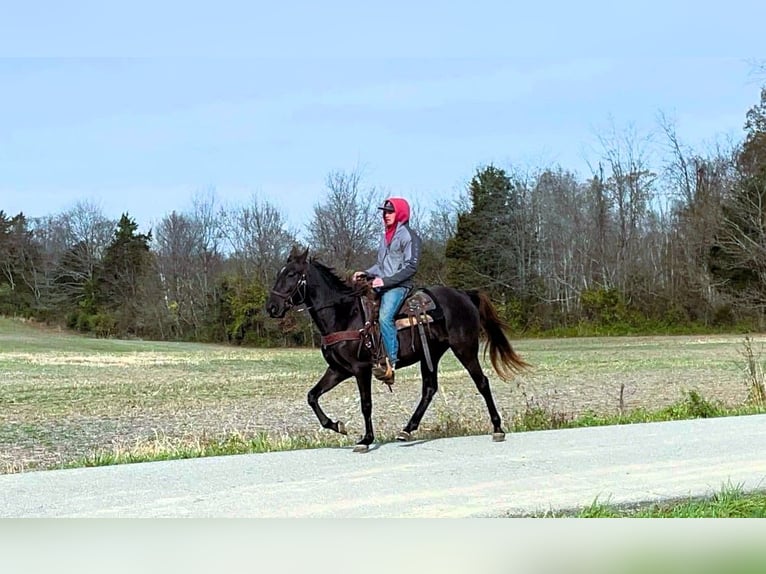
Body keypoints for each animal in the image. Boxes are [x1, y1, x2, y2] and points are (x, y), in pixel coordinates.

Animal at [266, 248, 528, 454]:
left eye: (291, 274)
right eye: (279, 273)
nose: (271, 307)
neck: (344, 315)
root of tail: (464, 295)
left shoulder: (361, 369)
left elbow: (366, 404)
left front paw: (365, 440)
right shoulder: (338, 370)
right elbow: (312, 396)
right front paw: (336, 425)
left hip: (464, 349)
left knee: (481, 382)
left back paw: (497, 428)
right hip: (431, 354)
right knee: (429, 389)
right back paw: (407, 429)